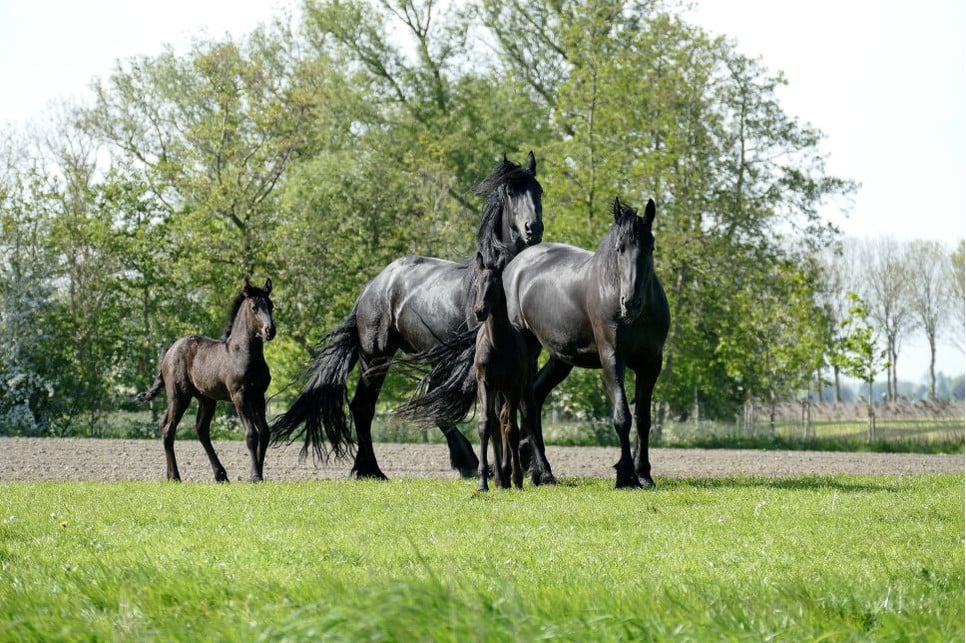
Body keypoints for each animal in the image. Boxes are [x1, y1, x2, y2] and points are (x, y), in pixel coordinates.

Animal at [134, 278, 276, 484]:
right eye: (254, 307)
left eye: (271, 306)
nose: (270, 331)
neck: (244, 354)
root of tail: (169, 352)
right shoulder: (239, 396)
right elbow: (251, 434)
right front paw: (255, 476)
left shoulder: (258, 396)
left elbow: (264, 433)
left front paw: (258, 474)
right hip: (179, 396)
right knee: (169, 429)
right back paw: (175, 476)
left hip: (206, 399)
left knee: (198, 429)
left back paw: (219, 475)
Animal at [472, 254, 532, 490]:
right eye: (477, 283)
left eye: (496, 284)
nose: (479, 311)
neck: (498, 344)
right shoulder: (485, 383)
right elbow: (485, 425)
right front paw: (482, 482)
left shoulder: (513, 385)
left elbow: (512, 430)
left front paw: (517, 479)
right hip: (494, 389)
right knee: (497, 422)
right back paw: (499, 478)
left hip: (514, 388)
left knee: (506, 420)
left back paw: (508, 476)